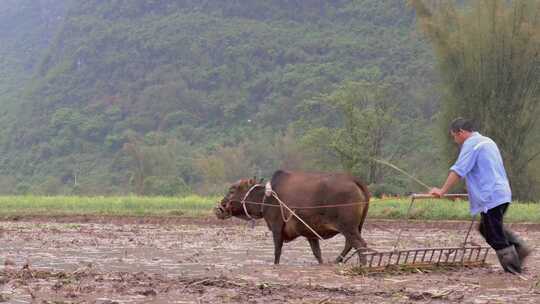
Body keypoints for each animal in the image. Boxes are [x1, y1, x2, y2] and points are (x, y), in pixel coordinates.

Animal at [215, 170, 372, 264]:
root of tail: (355, 181)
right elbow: (317, 254)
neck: (265, 199)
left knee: (360, 245)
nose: (219, 208)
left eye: (232, 190)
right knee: (350, 245)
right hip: (355, 227)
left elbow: (277, 252)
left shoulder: (277, 227)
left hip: (347, 227)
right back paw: (336, 261)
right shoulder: (311, 234)